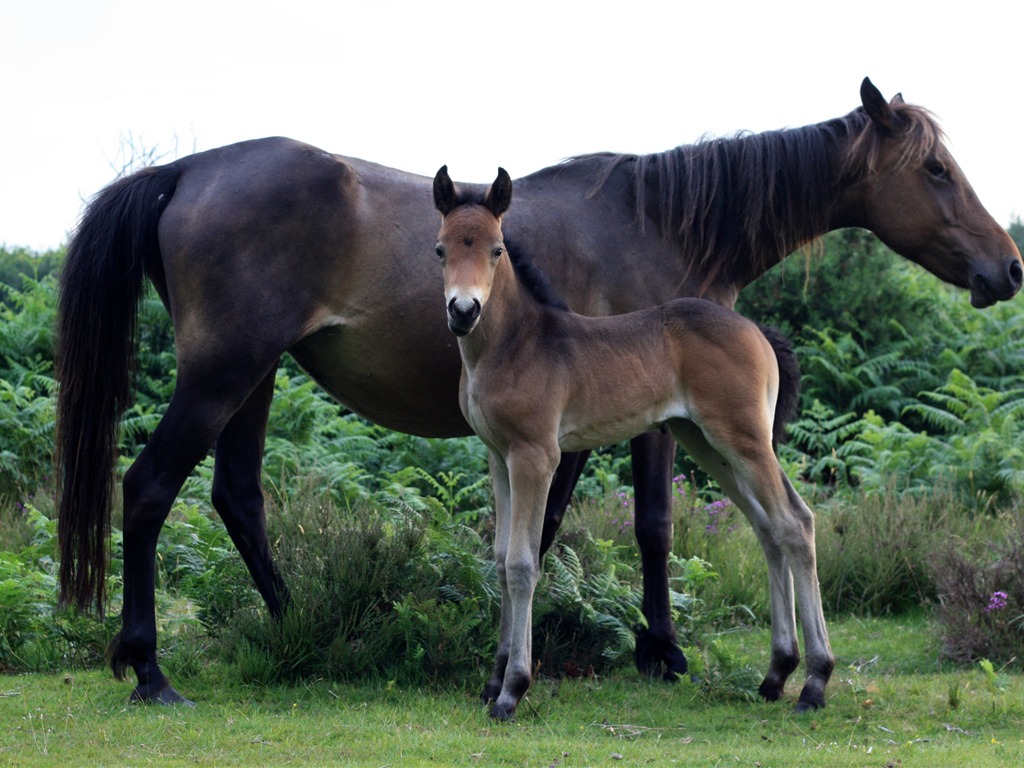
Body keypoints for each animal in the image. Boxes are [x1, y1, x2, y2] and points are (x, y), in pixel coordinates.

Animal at [58, 78, 1024, 708]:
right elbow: (648, 526)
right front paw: (658, 651)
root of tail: (186, 170)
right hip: (222, 374)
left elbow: (549, 531)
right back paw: (150, 668)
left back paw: (310, 632)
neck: (663, 220)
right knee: (149, 488)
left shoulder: (579, 427)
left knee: (237, 497)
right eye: (937, 170)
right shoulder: (640, 425)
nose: (1008, 267)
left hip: (254, 378)